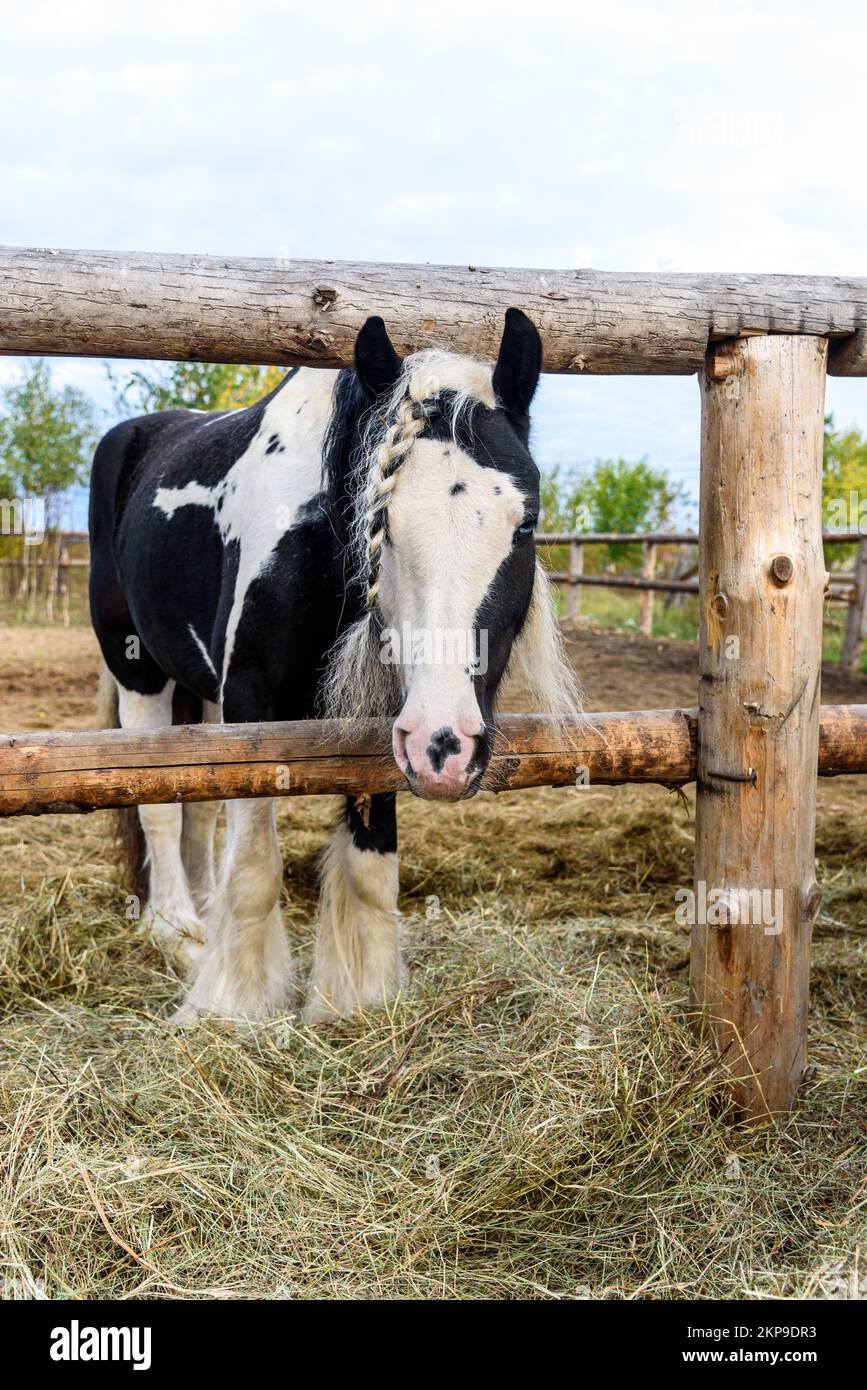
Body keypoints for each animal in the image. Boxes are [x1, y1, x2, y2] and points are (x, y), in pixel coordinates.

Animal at [89, 308, 579, 1023]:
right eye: (380, 521)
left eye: (525, 525)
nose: (446, 745)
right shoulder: (250, 708)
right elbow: (255, 866)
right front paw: (234, 1004)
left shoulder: (383, 723)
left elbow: (372, 865)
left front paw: (357, 997)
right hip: (138, 671)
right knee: (159, 806)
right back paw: (174, 929)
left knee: (197, 805)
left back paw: (202, 916)